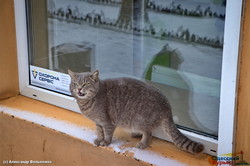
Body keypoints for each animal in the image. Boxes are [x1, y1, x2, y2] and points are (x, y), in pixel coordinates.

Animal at [68, 69, 203, 154]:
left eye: (85, 84)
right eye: (74, 84)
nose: (79, 89)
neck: (87, 103)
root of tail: (167, 106)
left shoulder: (107, 122)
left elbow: (107, 134)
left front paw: (105, 142)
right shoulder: (98, 122)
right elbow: (99, 131)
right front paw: (98, 139)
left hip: (139, 121)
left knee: (149, 133)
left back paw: (142, 143)